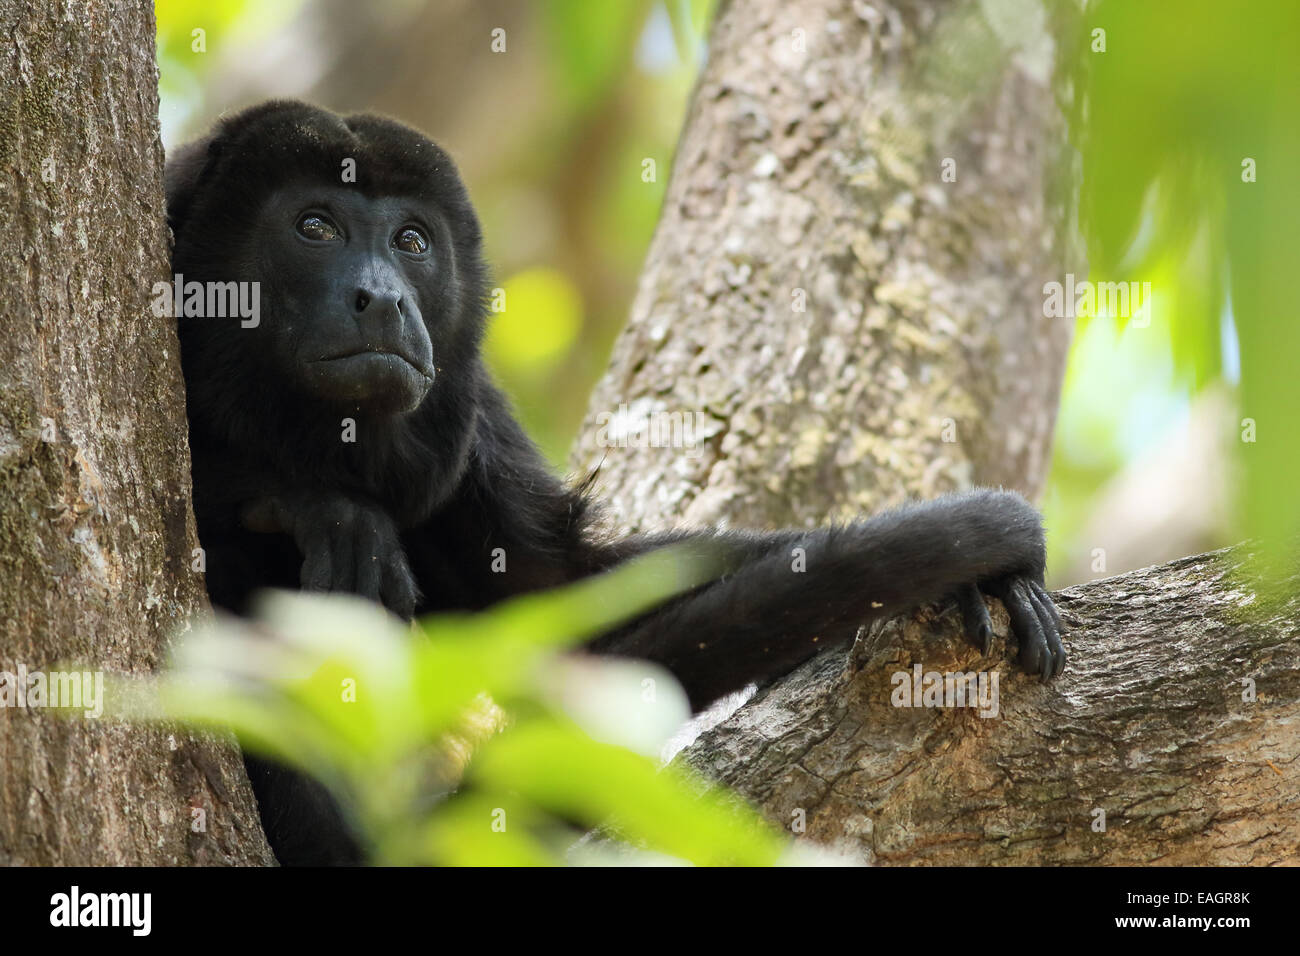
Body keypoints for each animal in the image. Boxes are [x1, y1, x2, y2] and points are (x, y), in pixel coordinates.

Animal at [162, 102, 1066, 868]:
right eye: (315, 227)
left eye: (412, 242)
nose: (382, 298)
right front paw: (309, 500)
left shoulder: (474, 421)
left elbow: (564, 596)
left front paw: (987, 578)